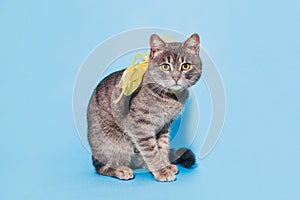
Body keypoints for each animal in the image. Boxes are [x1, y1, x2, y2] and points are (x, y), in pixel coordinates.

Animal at [88, 33, 203, 181]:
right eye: (166, 66)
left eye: (186, 66)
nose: (176, 77)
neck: (170, 98)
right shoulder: (141, 126)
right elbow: (151, 151)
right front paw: (161, 171)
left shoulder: (164, 126)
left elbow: (162, 147)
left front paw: (166, 165)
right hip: (116, 141)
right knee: (102, 167)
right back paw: (121, 170)